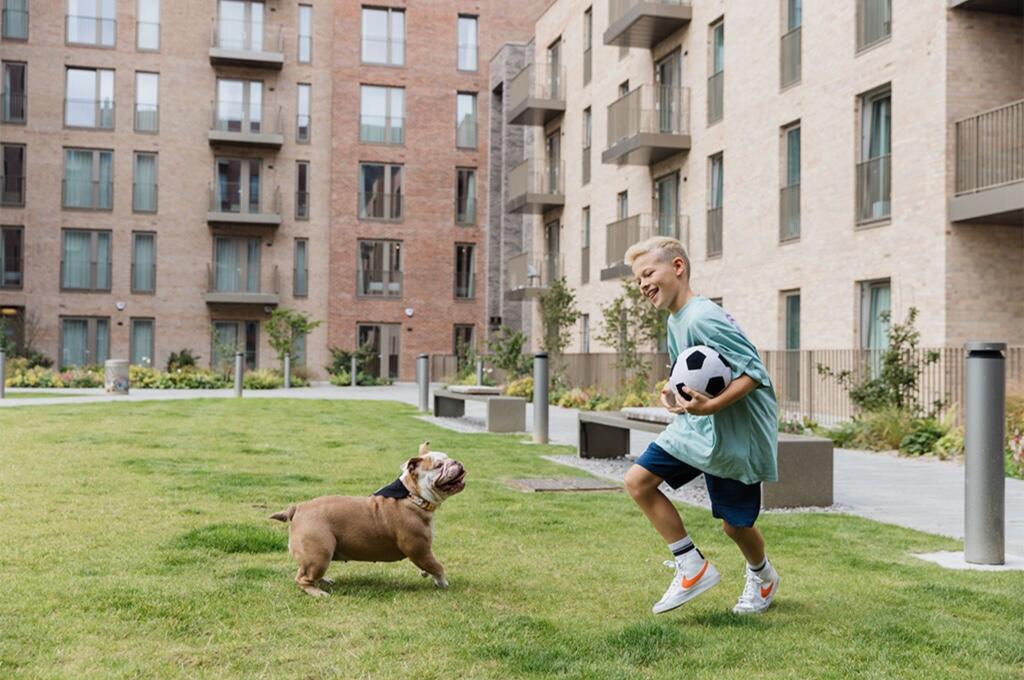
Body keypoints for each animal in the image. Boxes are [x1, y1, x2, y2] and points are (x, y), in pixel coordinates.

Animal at [270, 442, 466, 597]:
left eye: (449, 458)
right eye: (439, 465)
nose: (456, 461)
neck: (413, 496)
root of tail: (298, 508)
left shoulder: (422, 552)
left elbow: (428, 566)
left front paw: (426, 574)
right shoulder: (419, 549)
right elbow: (437, 566)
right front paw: (442, 583)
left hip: (319, 555)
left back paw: (324, 580)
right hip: (319, 553)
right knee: (302, 578)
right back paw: (317, 593)